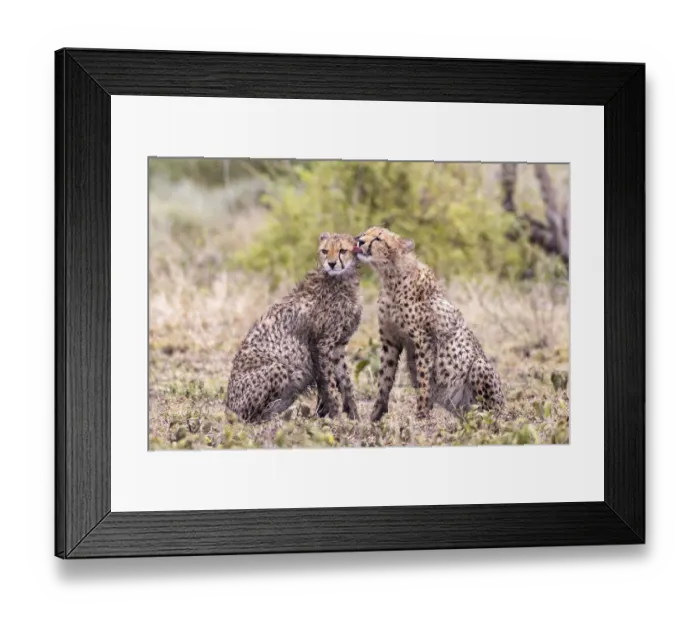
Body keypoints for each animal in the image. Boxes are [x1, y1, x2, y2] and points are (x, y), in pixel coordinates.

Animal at [226, 232, 362, 422]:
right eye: (325, 251)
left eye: (343, 250)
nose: (332, 263)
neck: (342, 280)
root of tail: (227, 408)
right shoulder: (322, 346)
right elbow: (329, 385)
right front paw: (335, 418)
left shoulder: (338, 346)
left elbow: (346, 383)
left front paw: (356, 417)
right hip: (279, 369)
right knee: (252, 417)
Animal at [353, 226, 505, 422]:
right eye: (365, 232)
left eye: (378, 238)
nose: (359, 241)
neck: (391, 276)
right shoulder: (390, 341)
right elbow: (384, 380)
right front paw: (374, 417)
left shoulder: (422, 340)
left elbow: (424, 379)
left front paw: (421, 415)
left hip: (479, 367)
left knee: (490, 410)